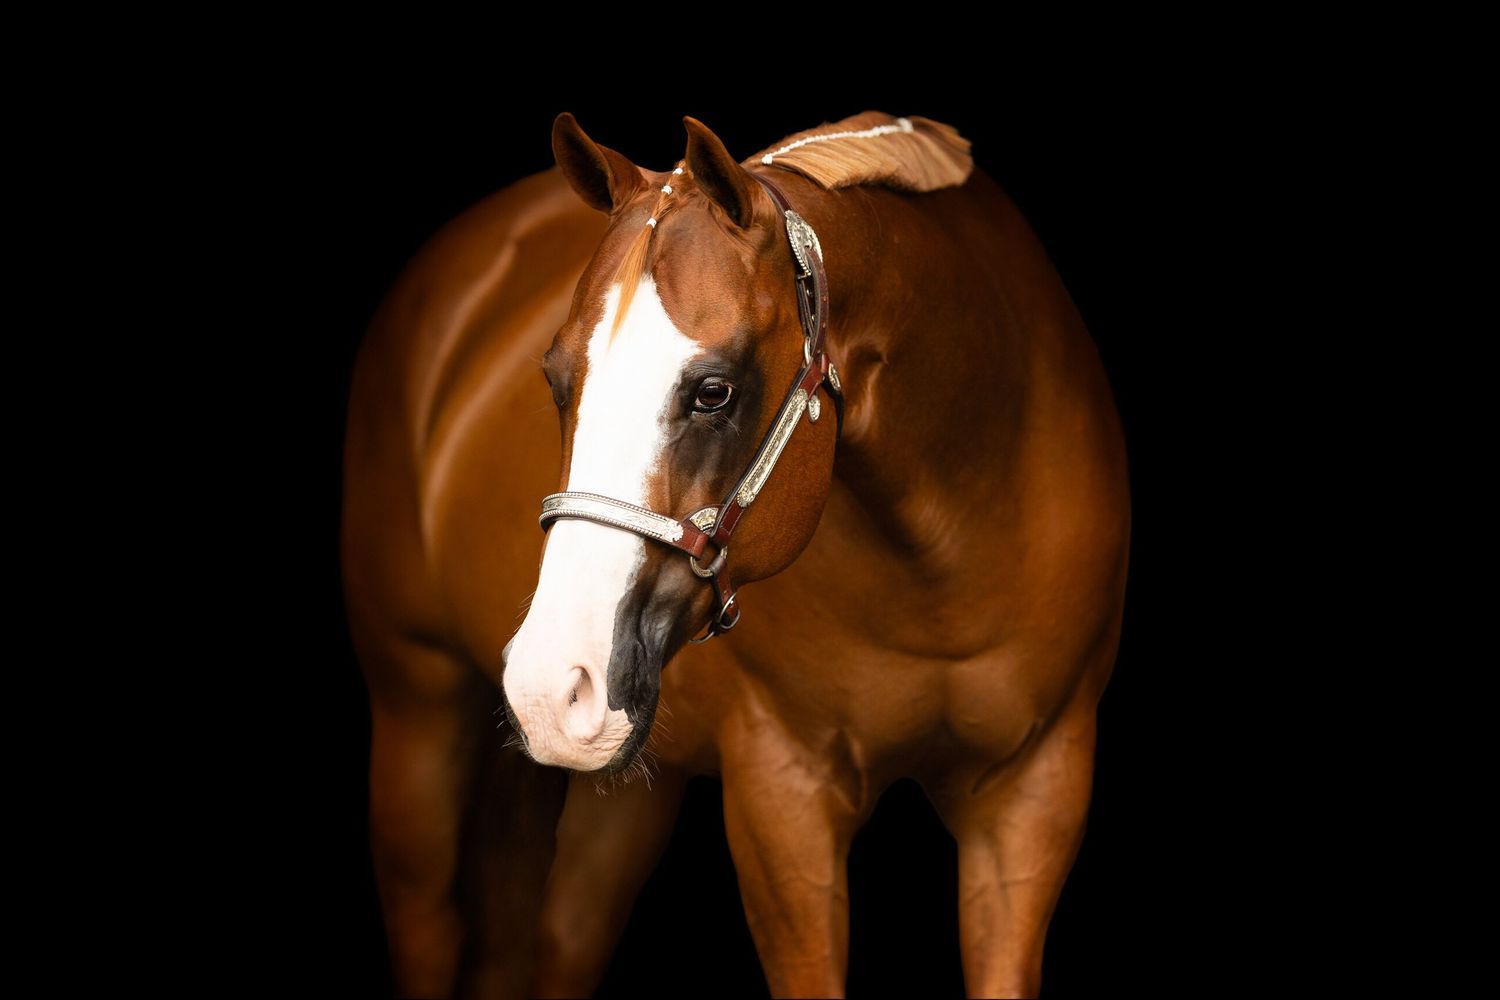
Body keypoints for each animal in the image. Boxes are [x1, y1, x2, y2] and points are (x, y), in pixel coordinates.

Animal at [342, 110, 1130, 998]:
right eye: (556, 379)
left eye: (713, 390)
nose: (549, 687)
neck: (947, 563)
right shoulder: (781, 800)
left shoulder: (1035, 796)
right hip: (417, 714)